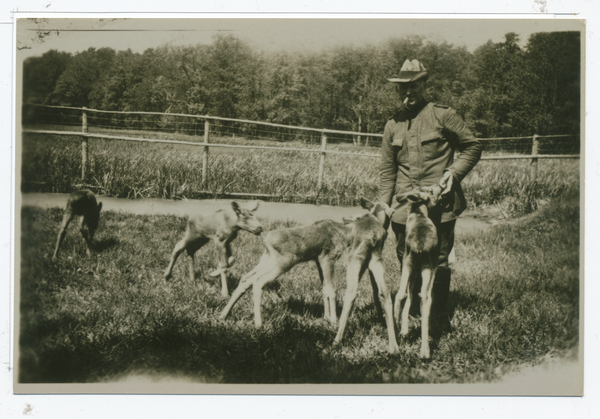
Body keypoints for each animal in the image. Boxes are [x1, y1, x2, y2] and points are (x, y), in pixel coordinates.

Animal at [218, 199, 400, 352]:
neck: (345, 233)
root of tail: (266, 240)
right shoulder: (328, 256)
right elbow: (332, 290)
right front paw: (333, 320)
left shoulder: (318, 259)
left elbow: (324, 288)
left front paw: (326, 318)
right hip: (283, 263)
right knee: (258, 282)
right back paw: (258, 325)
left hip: (268, 259)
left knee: (246, 278)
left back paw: (224, 314)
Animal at [396, 187, 442, 360]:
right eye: (430, 191)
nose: (439, 190)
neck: (419, 213)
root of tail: (420, 246)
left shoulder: (412, 269)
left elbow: (409, 295)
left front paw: (404, 329)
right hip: (428, 266)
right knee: (426, 297)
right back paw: (425, 351)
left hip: (408, 262)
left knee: (401, 294)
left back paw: (396, 334)